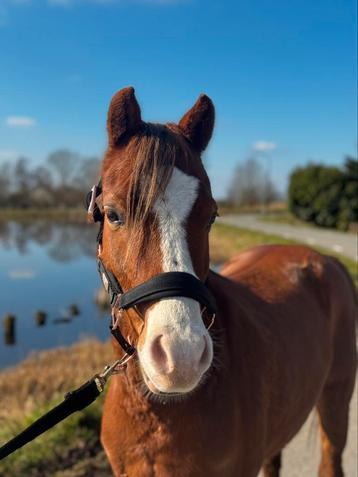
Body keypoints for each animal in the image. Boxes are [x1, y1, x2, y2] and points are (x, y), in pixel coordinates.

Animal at [98, 87, 356, 474]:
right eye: (113, 214)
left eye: (211, 216)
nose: (181, 357)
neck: (159, 413)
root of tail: (326, 260)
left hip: (335, 403)